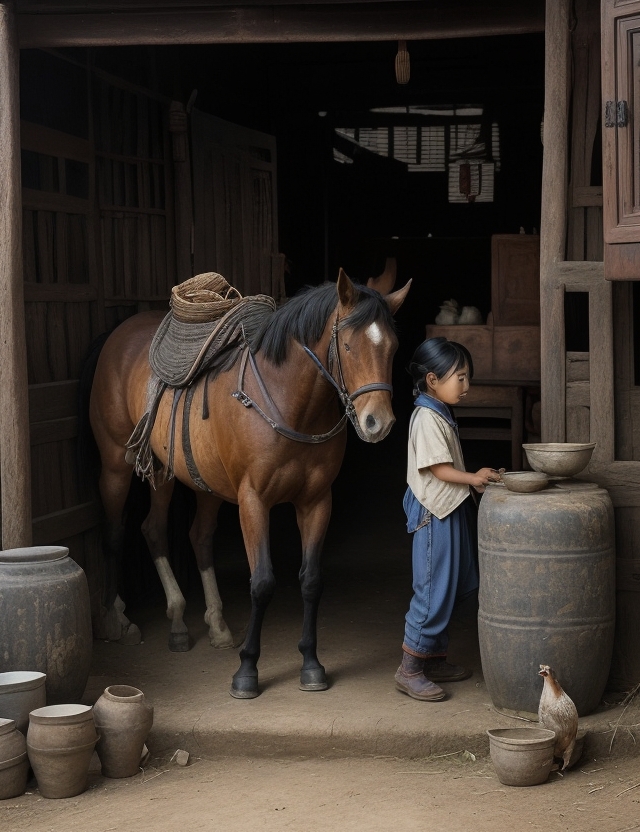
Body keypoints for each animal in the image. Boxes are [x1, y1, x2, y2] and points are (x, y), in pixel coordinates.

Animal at [89, 264, 410, 700]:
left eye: (392, 347)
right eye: (347, 346)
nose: (379, 422)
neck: (287, 400)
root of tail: (119, 335)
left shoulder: (316, 501)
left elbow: (311, 581)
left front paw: (311, 664)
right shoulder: (253, 500)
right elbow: (262, 583)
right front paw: (247, 671)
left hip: (184, 475)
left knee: (182, 534)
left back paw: (203, 623)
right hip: (116, 466)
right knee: (119, 532)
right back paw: (119, 620)